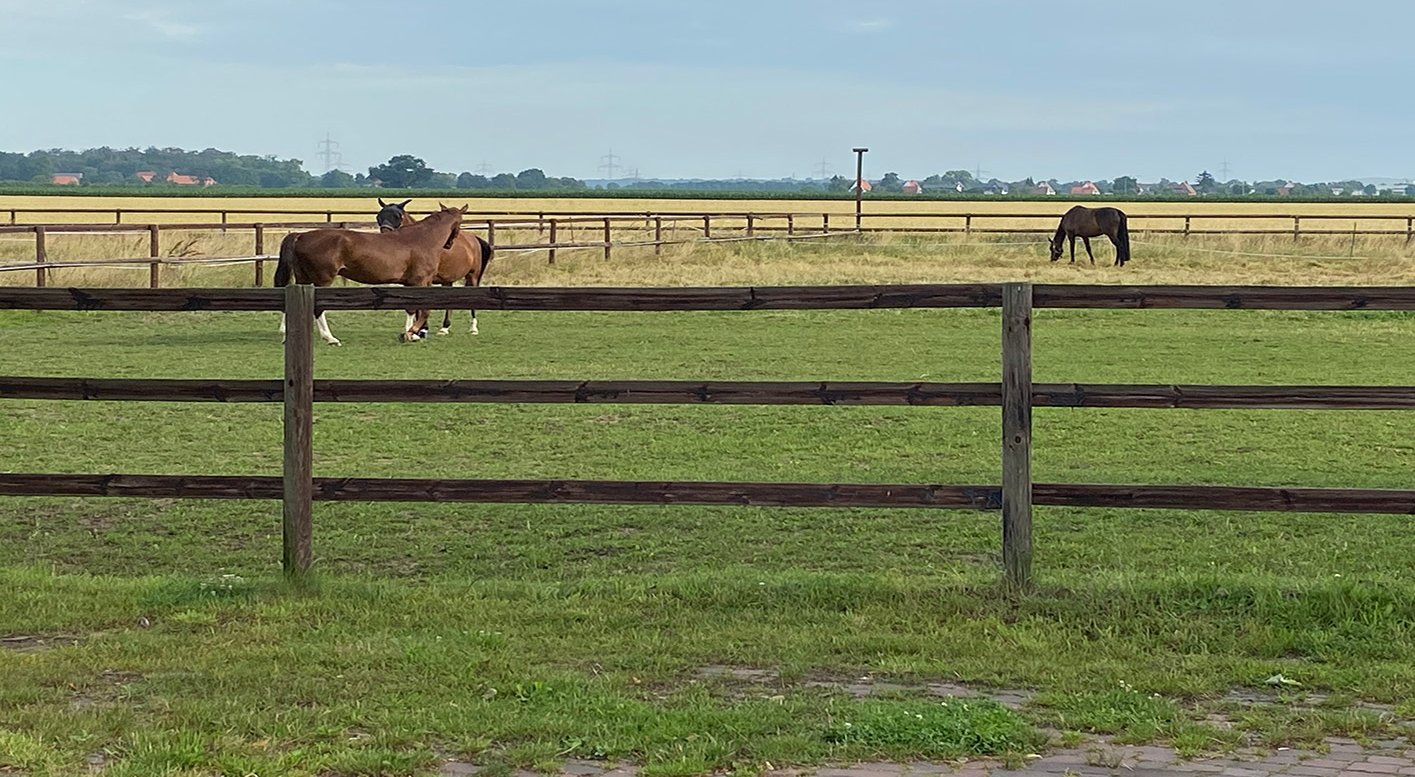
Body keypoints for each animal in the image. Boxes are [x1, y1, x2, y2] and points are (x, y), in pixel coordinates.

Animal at [275, 202, 469, 342]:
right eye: (460, 223)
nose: (449, 245)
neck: (423, 238)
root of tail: (301, 235)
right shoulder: (420, 282)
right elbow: (424, 310)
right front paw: (410, 333)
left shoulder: (412, 283)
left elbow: (411, 309)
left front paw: (412, 334)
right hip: (322, 280)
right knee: (318, 309)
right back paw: (330, 338)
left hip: (303, 279)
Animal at [376, 196, 492, 336]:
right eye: (379, 216)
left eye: (399, 216)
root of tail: (474, 238)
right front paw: (415, 330)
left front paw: (422, 329)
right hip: (448, 280)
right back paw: (444, 328)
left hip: (472, 276)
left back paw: (473, 328)